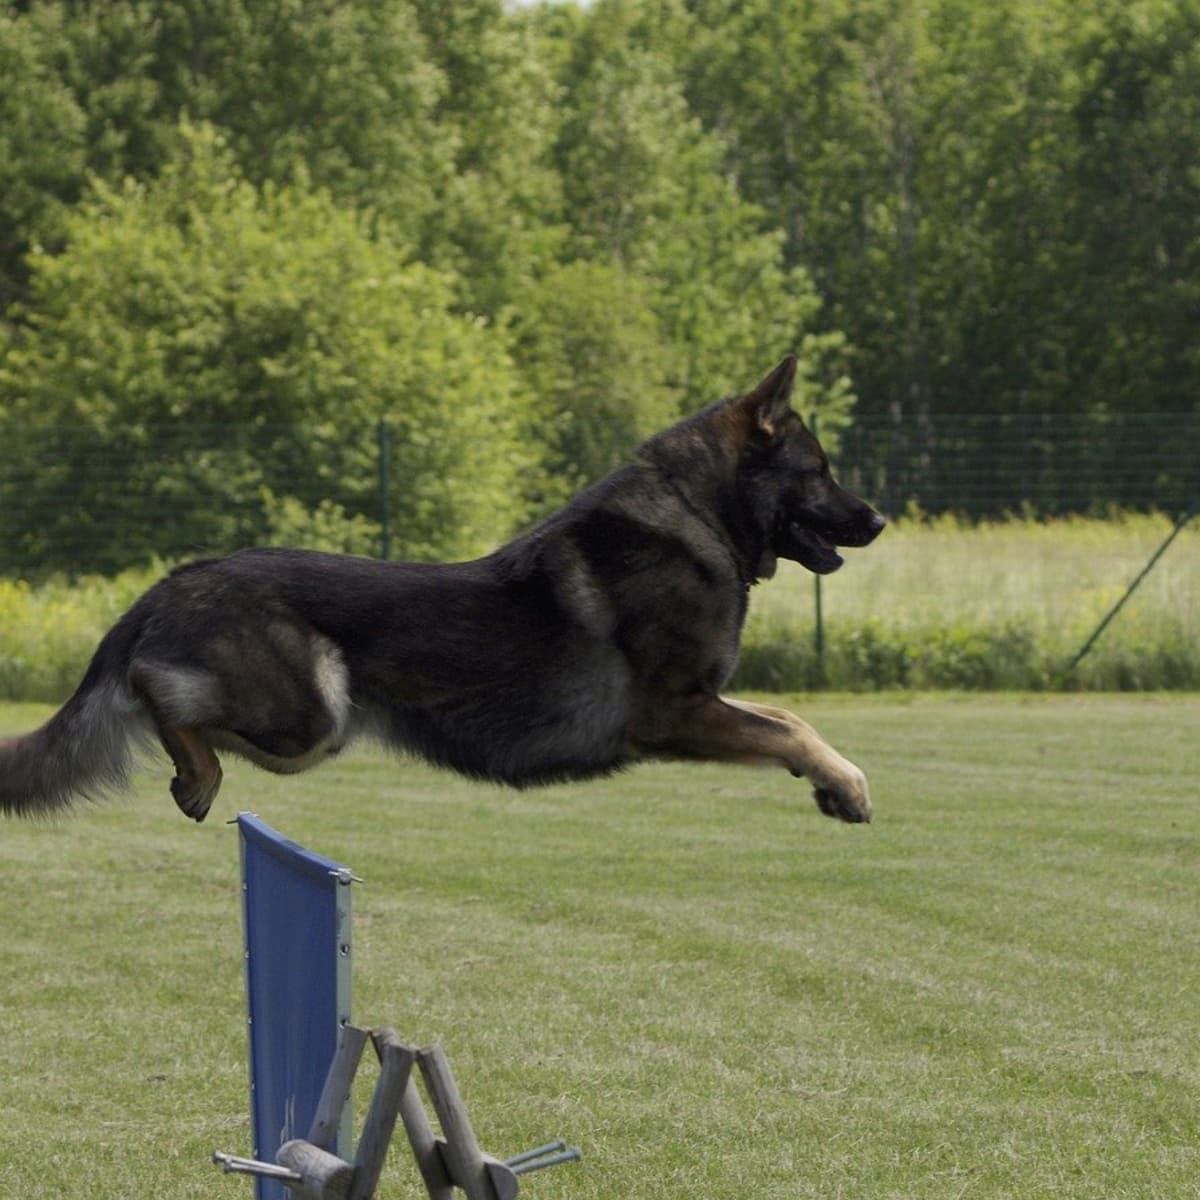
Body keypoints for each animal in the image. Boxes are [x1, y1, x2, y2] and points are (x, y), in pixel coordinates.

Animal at [0, 355, 883, 825]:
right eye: (819, 471)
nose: (876, 520)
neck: (694, 512)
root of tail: (170, 583)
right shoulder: (675, 713)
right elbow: (787, 731)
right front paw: (845, 783)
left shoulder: (703, 706)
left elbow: (790, 719)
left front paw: (833, 782)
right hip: (314, 713)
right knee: (160, 693)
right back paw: (196, 771)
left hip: (317, 727)